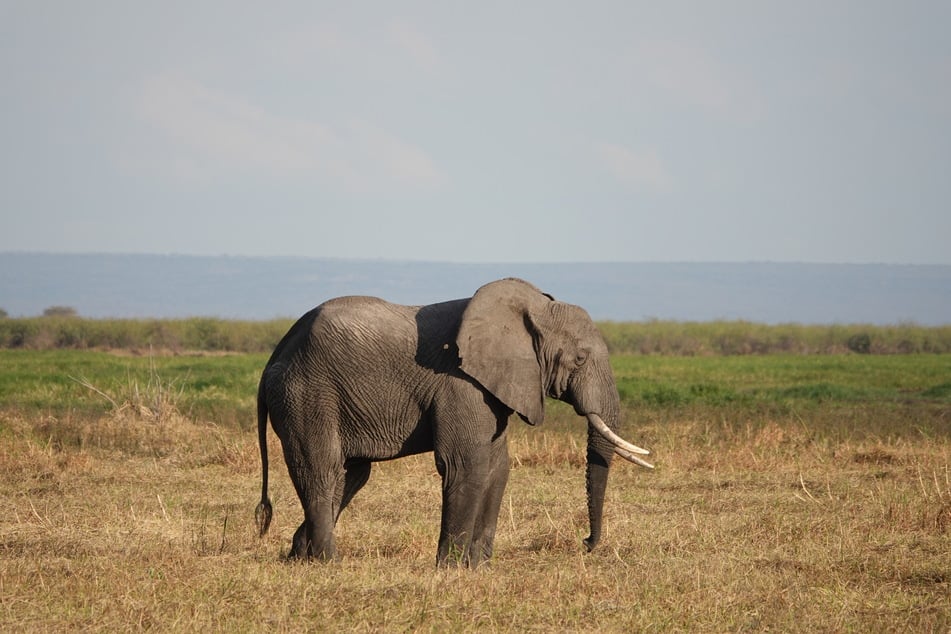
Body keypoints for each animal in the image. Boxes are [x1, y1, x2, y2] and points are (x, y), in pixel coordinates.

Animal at [255, 278, 656, 564]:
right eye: (580, 359)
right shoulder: (460, 383)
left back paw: (298, 558)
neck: (531, 310)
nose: (586, 543)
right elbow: (466, 463)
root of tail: (275, 353)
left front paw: (478, 567)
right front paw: (450, 568)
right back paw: (328, 562)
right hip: (306, 394)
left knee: (350, 475)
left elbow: (497, 467)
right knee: (321, 469)